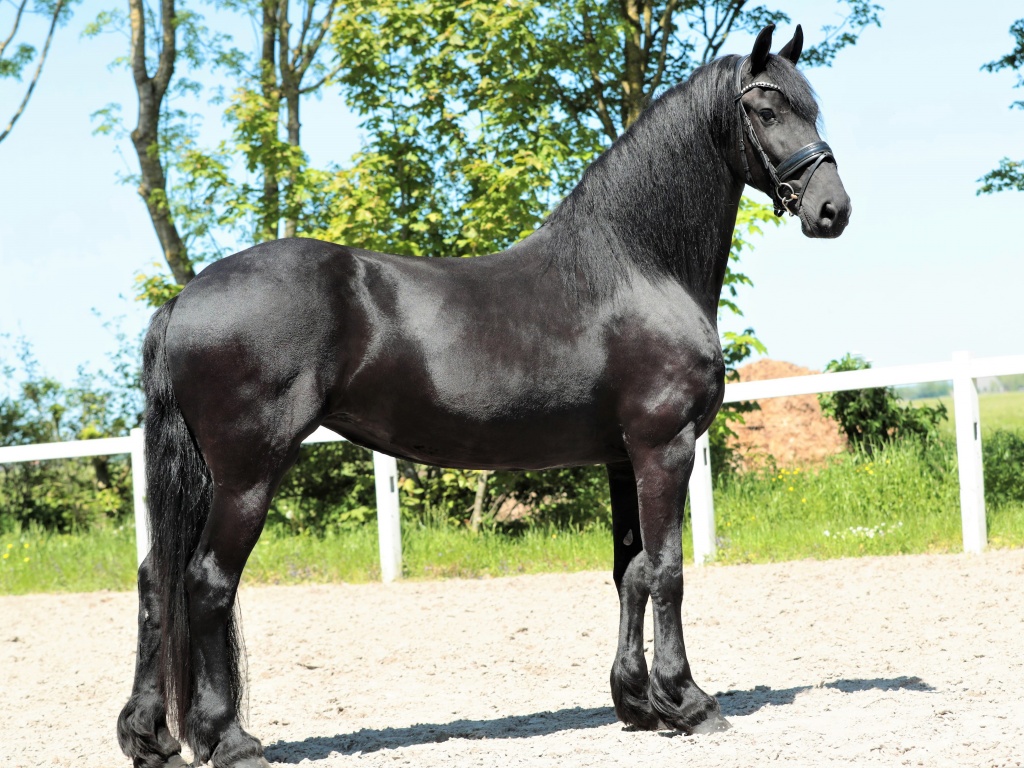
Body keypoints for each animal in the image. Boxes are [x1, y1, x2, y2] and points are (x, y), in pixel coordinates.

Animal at [117, 23, 850, 768]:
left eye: (811, 109)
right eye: (767, 110)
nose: (833, 209)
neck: (638, 269)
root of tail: (184, 298)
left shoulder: (623, 458)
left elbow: (631, 571)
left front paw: (639, 705)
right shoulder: (663, 449)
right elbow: (668, 570)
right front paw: (690, 701)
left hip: (205, 476)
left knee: (156, 580)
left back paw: (152, 737)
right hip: (247, 472)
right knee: (206, 582)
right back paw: (228, 738)